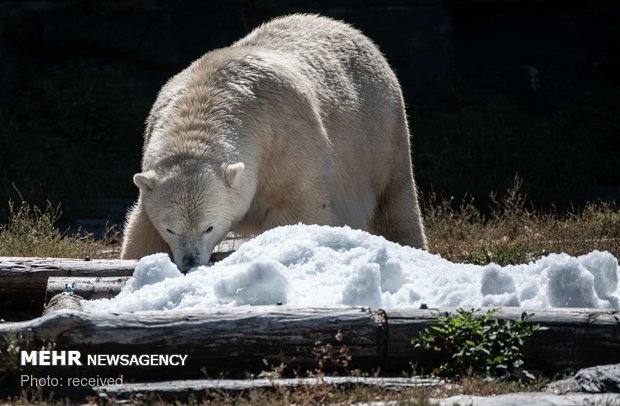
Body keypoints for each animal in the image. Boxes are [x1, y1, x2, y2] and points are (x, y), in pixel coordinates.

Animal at [122, 13, 426, 272]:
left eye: (208, 227)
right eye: (170, 228)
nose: (190, 262)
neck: (208, 99)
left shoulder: (284, 143)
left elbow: (298, 208)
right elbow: (142, 231)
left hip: (379, 135)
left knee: (395, 203)